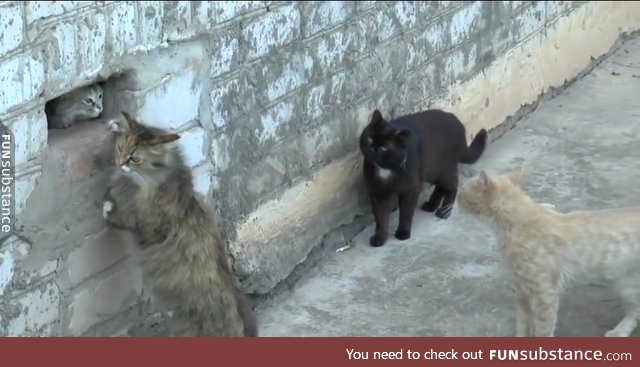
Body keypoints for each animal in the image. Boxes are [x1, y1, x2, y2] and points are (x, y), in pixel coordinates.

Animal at [102, 113, 258, 340]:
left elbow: (121, 219)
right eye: (120, 148)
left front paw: (107, 208)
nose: (119, 163)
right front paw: (117, 124)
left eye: (135, 159)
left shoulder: (146, 227)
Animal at [358, 109, 488, 247]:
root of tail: (458, 123)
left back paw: (444, 211)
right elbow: (381, 217)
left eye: (384, 147)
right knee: (440, 187)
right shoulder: (378, 192)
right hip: (432, 171)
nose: (372, 149)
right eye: (370, 139)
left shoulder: (410, 190)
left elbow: (406, 213)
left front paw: (403, 232)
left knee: (452, 185)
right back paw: (431, 205)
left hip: (443, 170)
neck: (385, 169)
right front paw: (380, 238)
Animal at [460, 166, 640, 336]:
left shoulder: (544, 294)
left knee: (634, 312)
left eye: (462, 190)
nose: (456, 196)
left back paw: (619, 331)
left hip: (626, 285)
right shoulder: (522, 290)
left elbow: (543, 329)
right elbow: (522, 323)